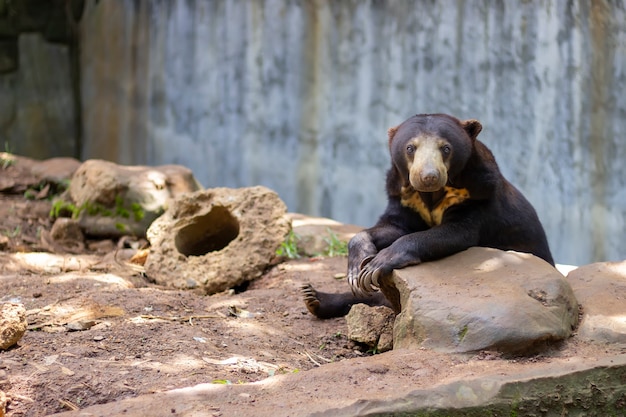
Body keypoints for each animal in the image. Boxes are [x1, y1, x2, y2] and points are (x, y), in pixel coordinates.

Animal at [302, 112, 552, 316]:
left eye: (446, 148)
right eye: (410, 148)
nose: (428, 176)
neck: (431, 195)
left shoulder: (476, 195)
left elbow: (454, 232)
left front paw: (378, 264)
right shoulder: (403, 196)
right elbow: (394, 226)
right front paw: (357, 269)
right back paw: (312, 295)